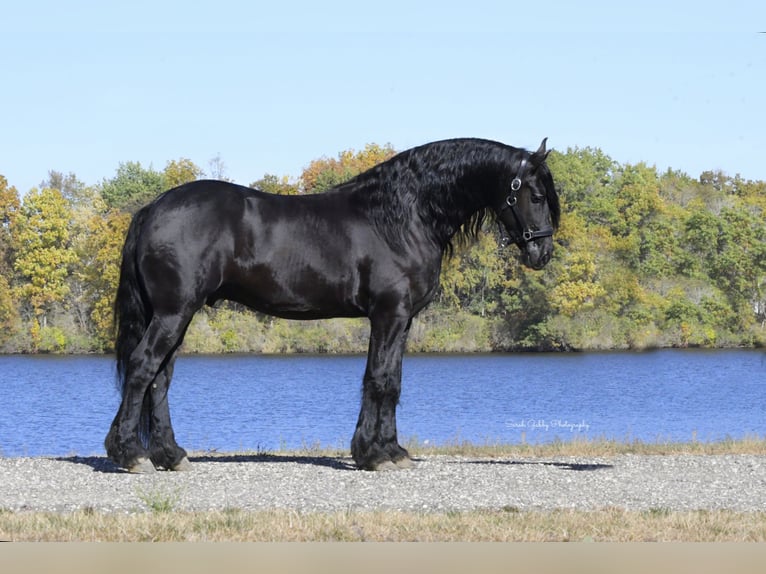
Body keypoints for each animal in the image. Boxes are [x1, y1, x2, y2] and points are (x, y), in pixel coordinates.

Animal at [105, 138, 560, 472]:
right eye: (535, 195)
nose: (543, 254)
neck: (403, 217)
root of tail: (152, 209)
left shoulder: (403, 321)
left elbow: (391, 381)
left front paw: (390, 451)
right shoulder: (389, 314)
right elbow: (380, 380)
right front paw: (376, 456)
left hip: (176, 316)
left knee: (160, 379)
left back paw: (170, 455)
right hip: (173, 313)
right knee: (143, 368)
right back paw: (131, 455)